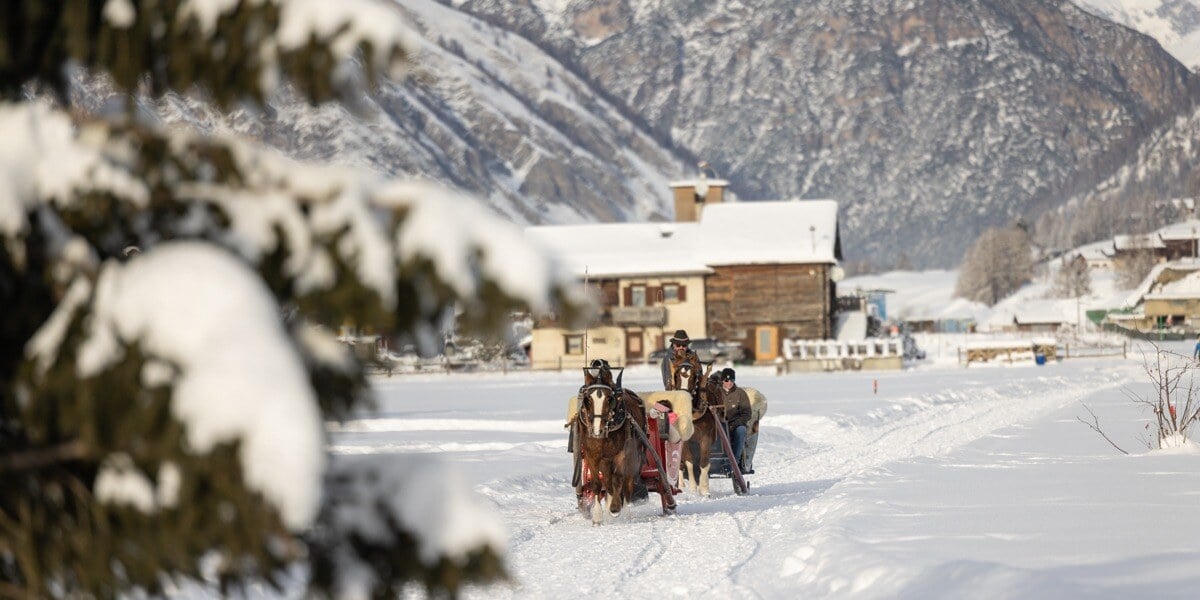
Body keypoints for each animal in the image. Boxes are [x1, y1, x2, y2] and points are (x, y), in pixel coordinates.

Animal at [571, 362, 648, 523]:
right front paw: (598, 516)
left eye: (609, 399)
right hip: (605, 460)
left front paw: (615, 508)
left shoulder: (621, 455)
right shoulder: (592, 456)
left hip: (632, 455)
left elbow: (618, 480)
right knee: (608, 481)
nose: (597, 430)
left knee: (626, 482)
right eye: (588, 399)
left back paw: (623, 510)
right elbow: (597, 483)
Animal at [667, 362, 720, 494]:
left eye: (693, 378)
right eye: (677, 376)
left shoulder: (706, 438)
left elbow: (704, 463)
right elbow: (689, 461)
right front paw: (692, 487)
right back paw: (680, 484)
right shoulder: (685, 440)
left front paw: (704, 489)